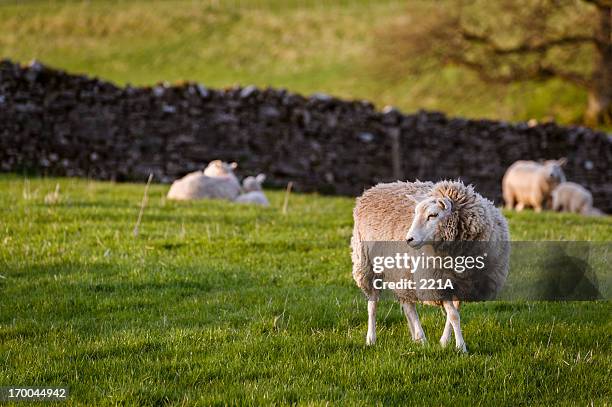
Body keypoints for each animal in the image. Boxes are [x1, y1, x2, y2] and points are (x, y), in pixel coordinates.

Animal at [352, 180, 510, 352]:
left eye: (433, 215)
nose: (409, 239)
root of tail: (375, 188)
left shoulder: (464, 285)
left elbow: (453, 314)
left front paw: (444, 342)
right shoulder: (437, 282)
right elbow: (453, 315)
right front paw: (461, 347)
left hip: (402, 273)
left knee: (408, 304)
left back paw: (418, 338)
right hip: (367, 266)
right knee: (372, 305)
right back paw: (372, 339)